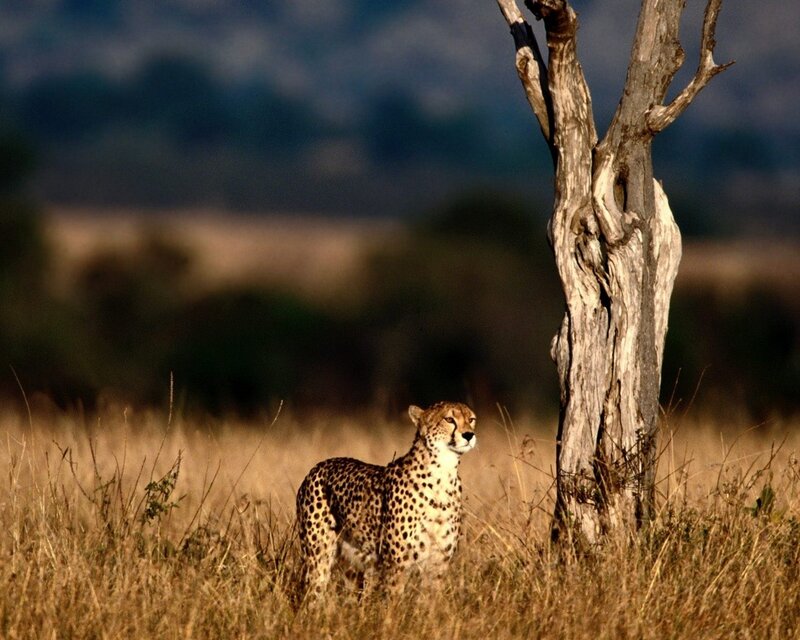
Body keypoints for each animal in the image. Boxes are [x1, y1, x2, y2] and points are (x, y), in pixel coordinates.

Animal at [295, 401, 477, 599]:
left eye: (471, 419)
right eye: (449, 419)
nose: (469, 435)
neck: (443, 473)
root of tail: (319, 465)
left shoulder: (437, 565)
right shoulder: (396, 565)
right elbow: (394, 601)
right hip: (318, 557)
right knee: (313, 594)